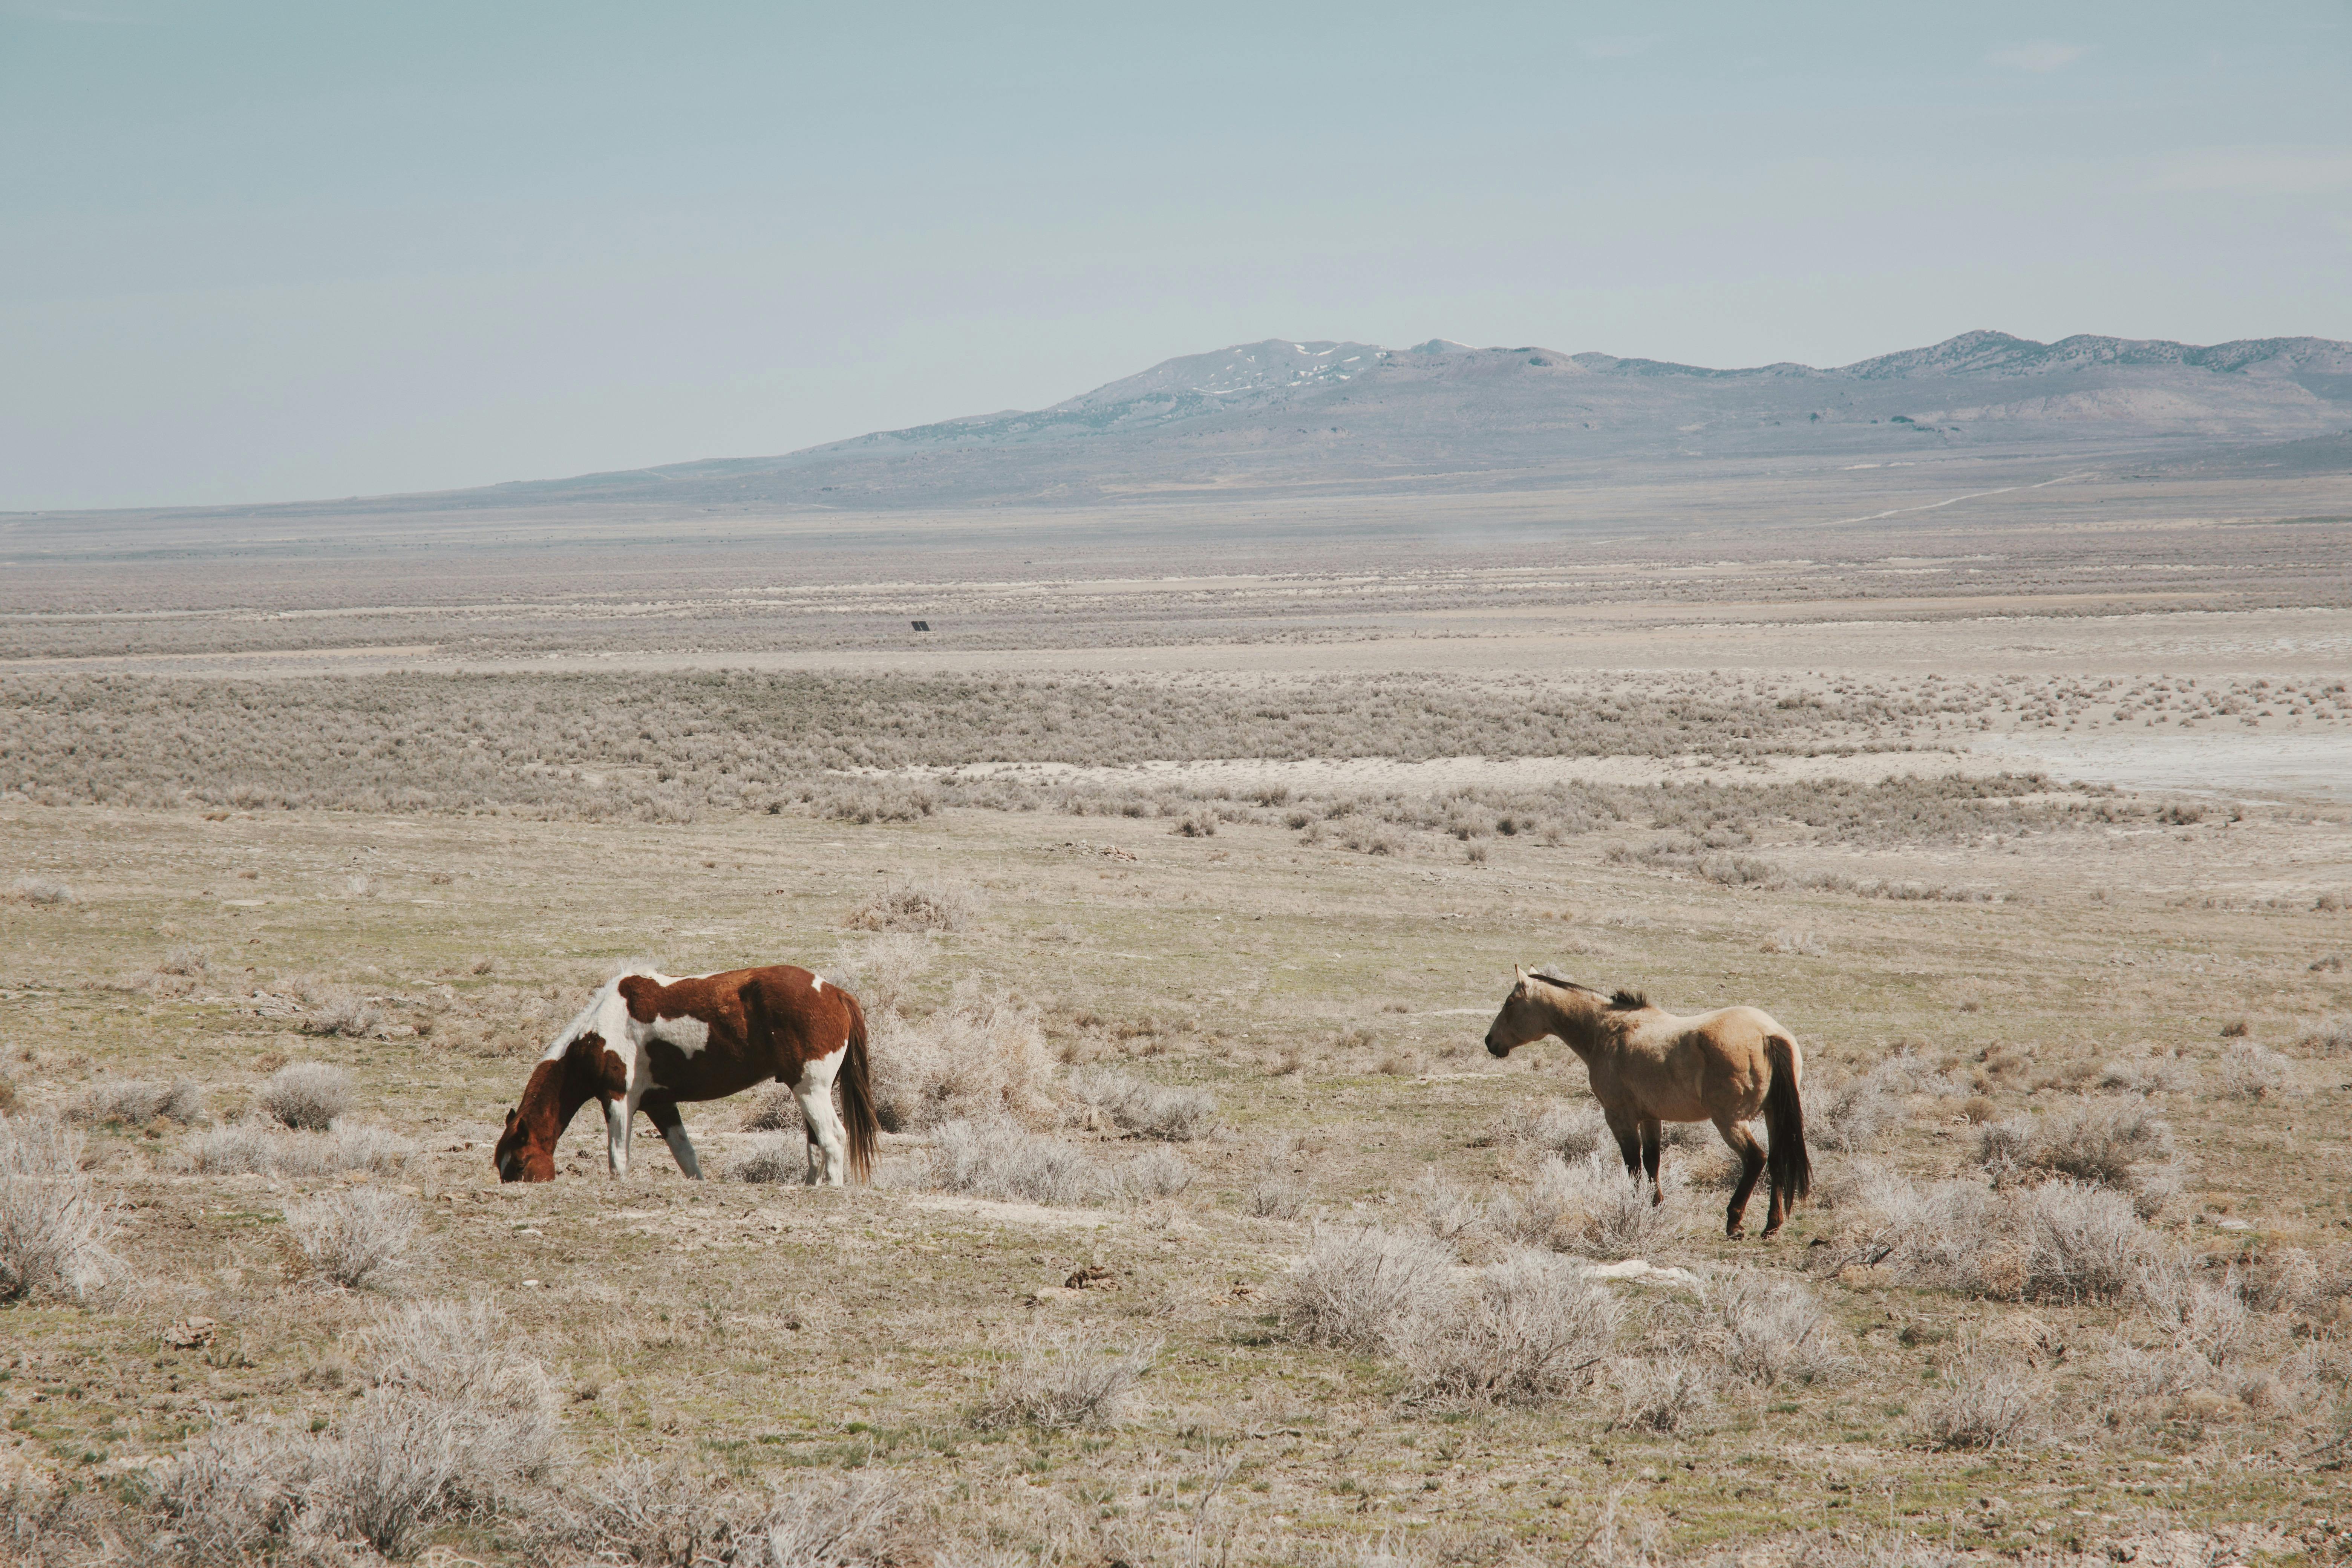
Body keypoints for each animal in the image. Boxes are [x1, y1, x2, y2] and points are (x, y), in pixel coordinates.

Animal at [492, 965, 878, 1186]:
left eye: (520, 1163)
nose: (510, 1190)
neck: (600, 1030)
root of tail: (835, 993)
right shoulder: (660, 1105)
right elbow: (687, 1157)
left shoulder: (617, 1098)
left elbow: (618, 1158)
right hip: (807, 1092)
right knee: (816, 1144)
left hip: (811, 1089)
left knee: (833, 1138)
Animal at [1481, 966, 1810, 1238]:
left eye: (1510, 1003)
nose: (1490, 1042)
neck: (1606, 1029)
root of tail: (1769, 1034)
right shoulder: (1652, 1117)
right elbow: (1653, 1161)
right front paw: (1655, 1205)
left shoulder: (1619, 1118)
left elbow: (1633, 1164)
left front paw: (1634, 1206)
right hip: (1772, 1115)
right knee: (1777, 1160)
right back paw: (1772, 1225)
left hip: (1730, 1121)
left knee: (1756, 1158)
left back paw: (1734, 1222)